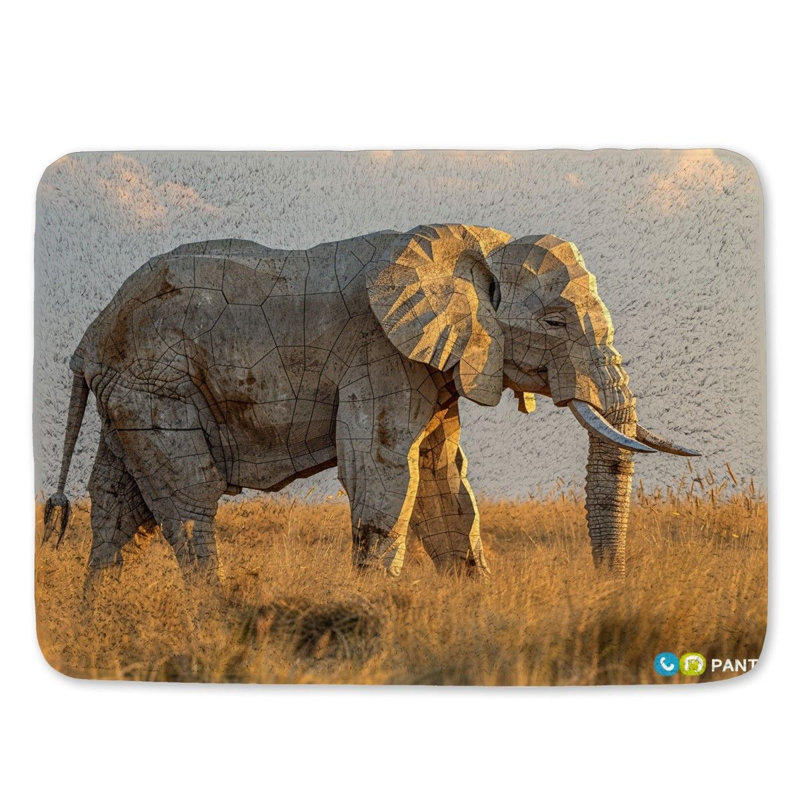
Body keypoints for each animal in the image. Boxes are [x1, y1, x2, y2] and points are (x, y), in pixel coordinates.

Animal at [43, 223, 697, 585]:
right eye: (556, 322)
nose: (609, 587)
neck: (477, 249)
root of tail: (87, 340)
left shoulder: (437, 365)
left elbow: (444, 486)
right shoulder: (382, 355)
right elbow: (384, 474)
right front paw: (375, 612)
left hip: (133, 390)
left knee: (119, 510)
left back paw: (99, 616)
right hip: (157, 385)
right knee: (187, 504)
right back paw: (216, 620)